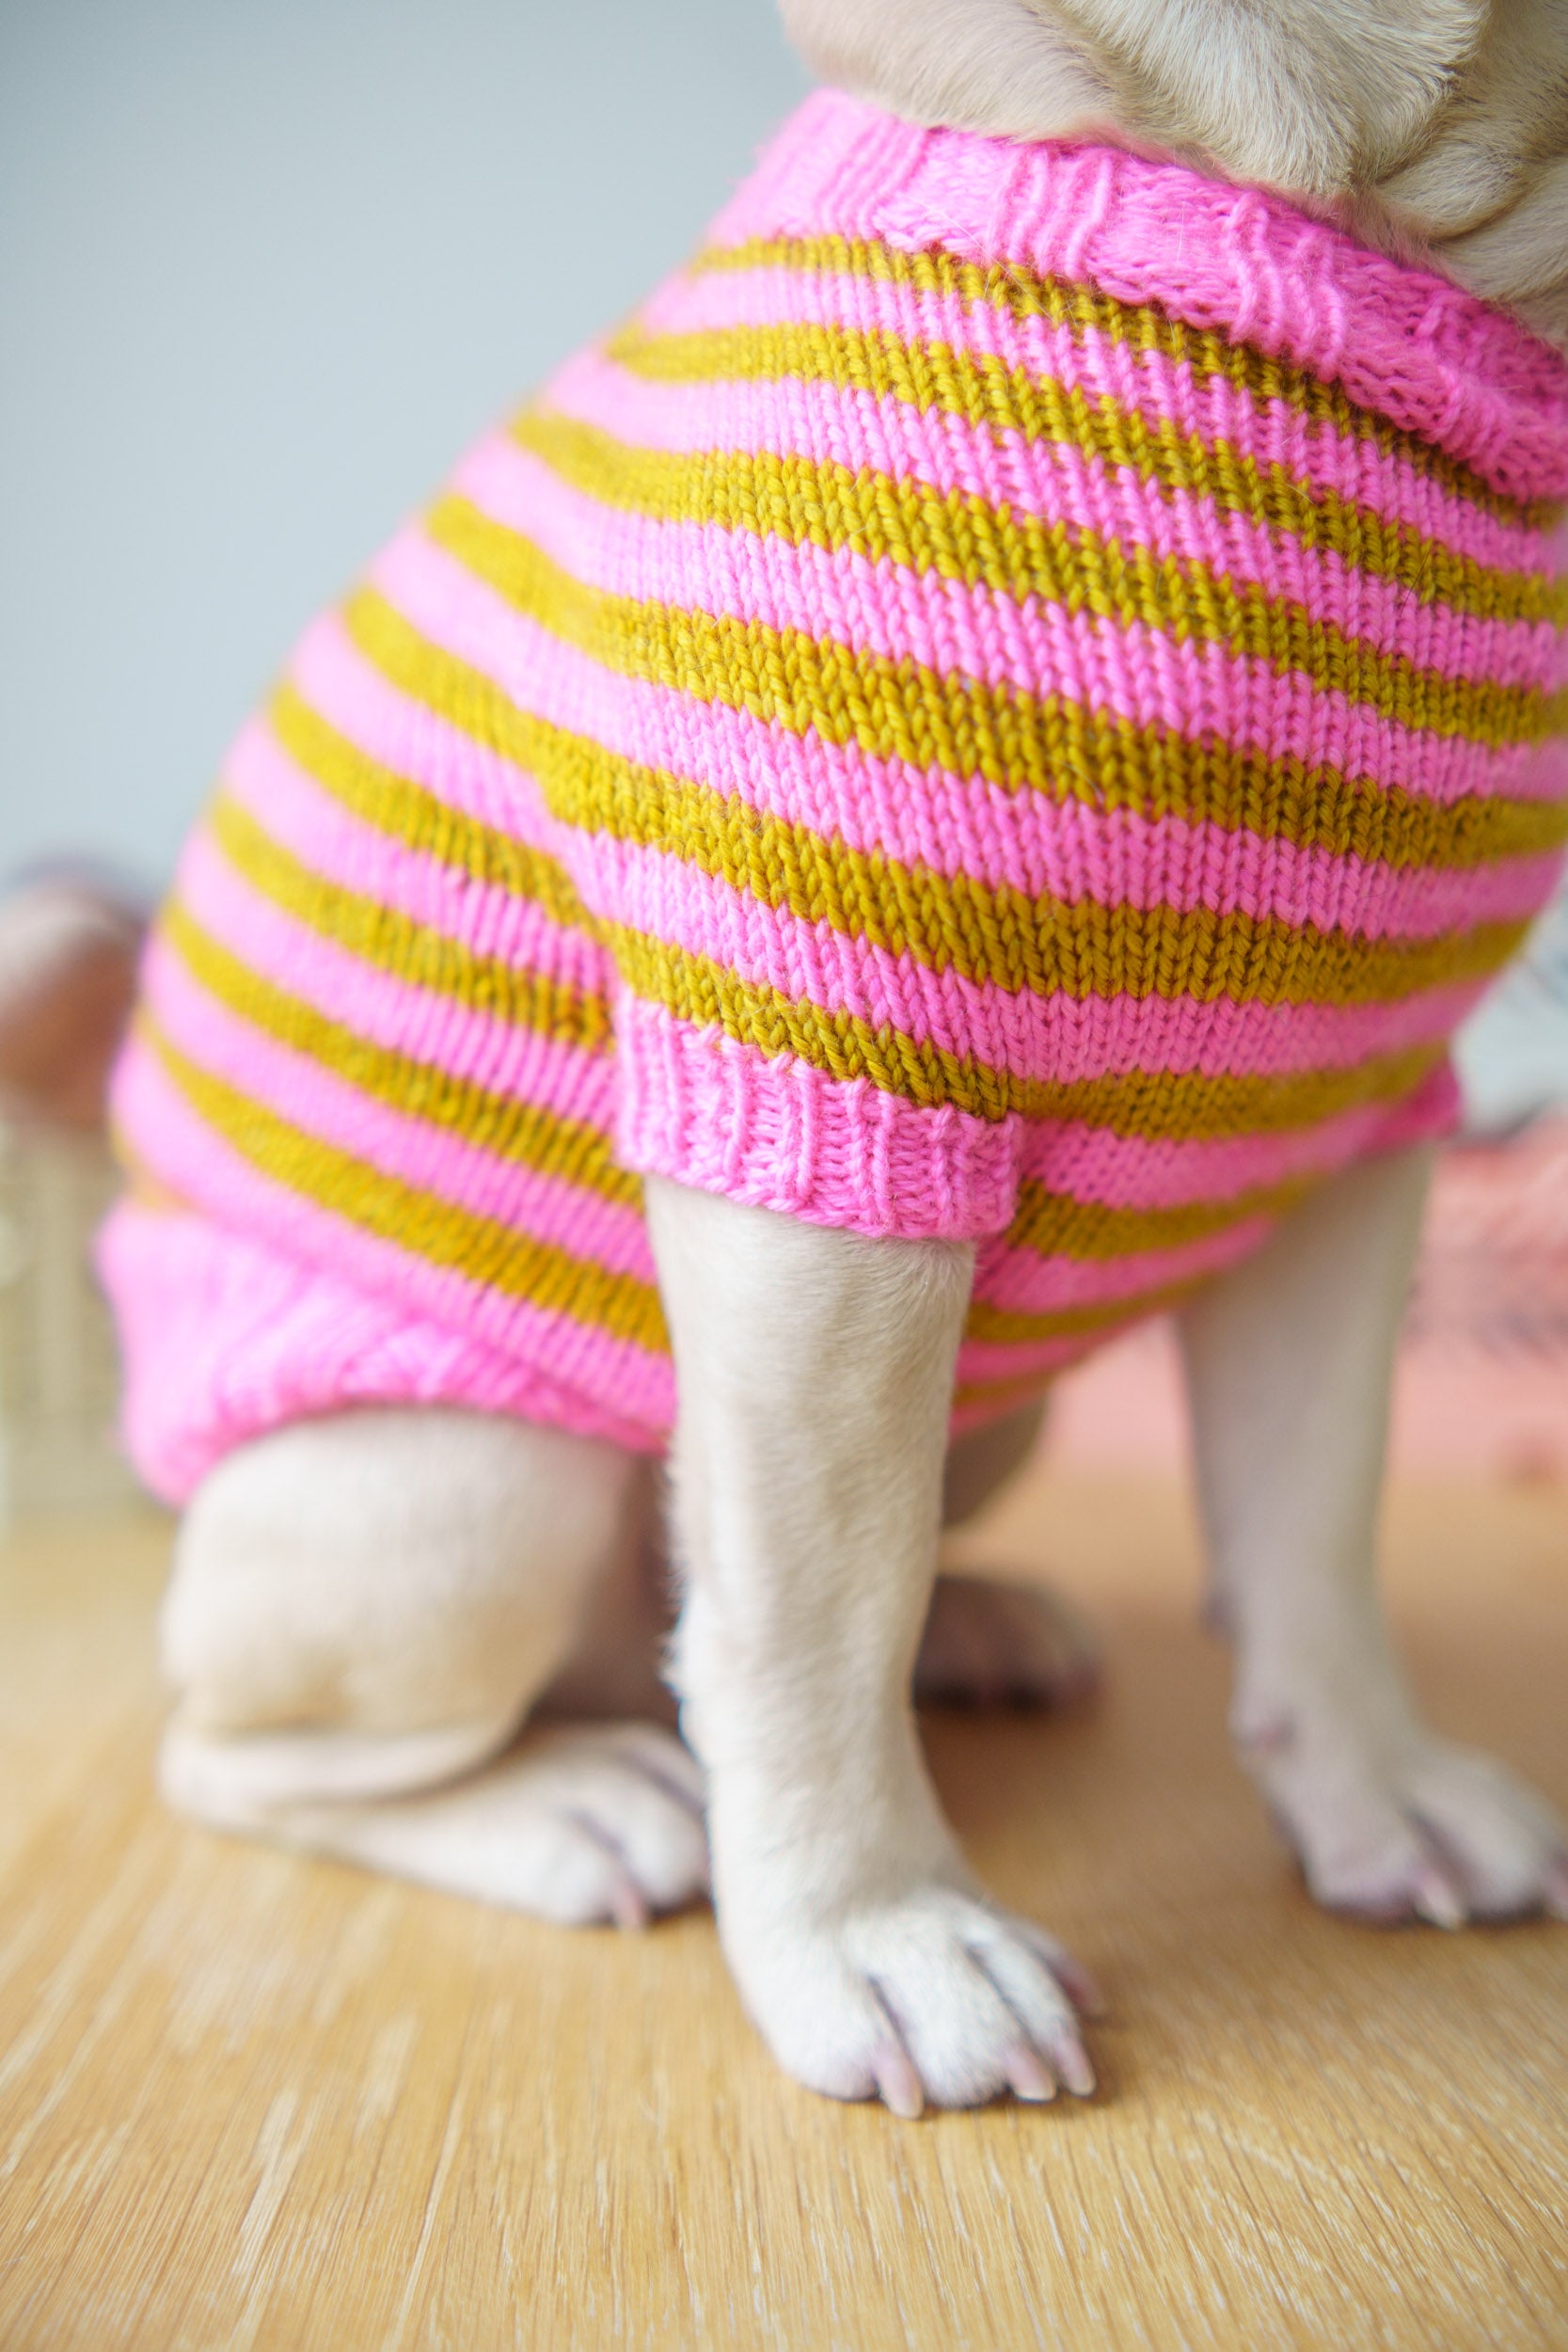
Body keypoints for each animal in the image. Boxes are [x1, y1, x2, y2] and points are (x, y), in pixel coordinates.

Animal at [61, 0, 1568, 2126]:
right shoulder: (825, 1140)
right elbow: (807, 1614)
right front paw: (874, 1931)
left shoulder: (1334, 1139)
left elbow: (1310, 1521)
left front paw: (1374, 1786)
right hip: (454, 1490)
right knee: (255, 1753)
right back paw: (567, 1806)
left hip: (984, 1415)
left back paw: (974, 1629)